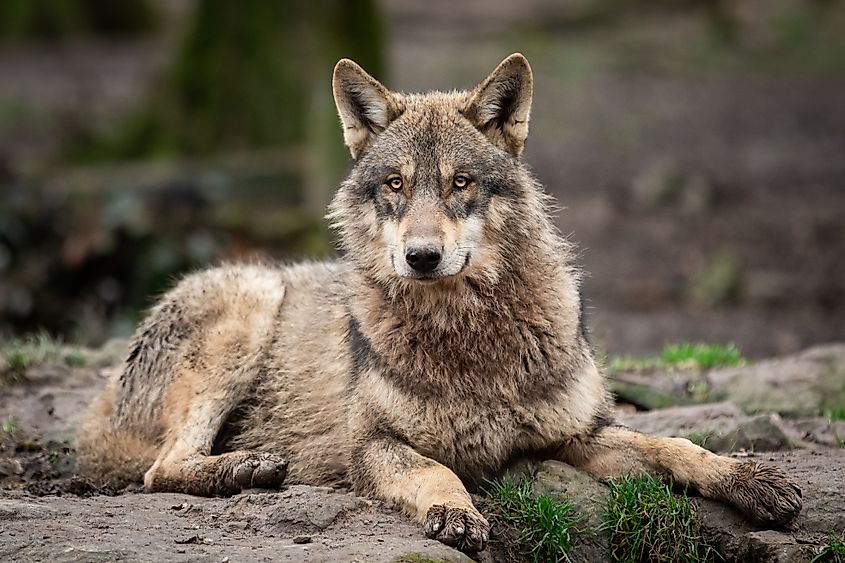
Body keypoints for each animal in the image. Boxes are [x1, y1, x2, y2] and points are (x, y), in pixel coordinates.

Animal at [76, 54, 801, 552]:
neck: (471, 339)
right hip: (249, 305)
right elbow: (433, 471)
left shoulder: (578, 434)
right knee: (160, 470)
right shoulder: (372, 445)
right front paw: (455, 512)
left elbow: (675, 444)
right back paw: (245, 468)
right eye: (396, 185)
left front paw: (751, 480)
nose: (421, 256)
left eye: (460, 183)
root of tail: (97, 412)